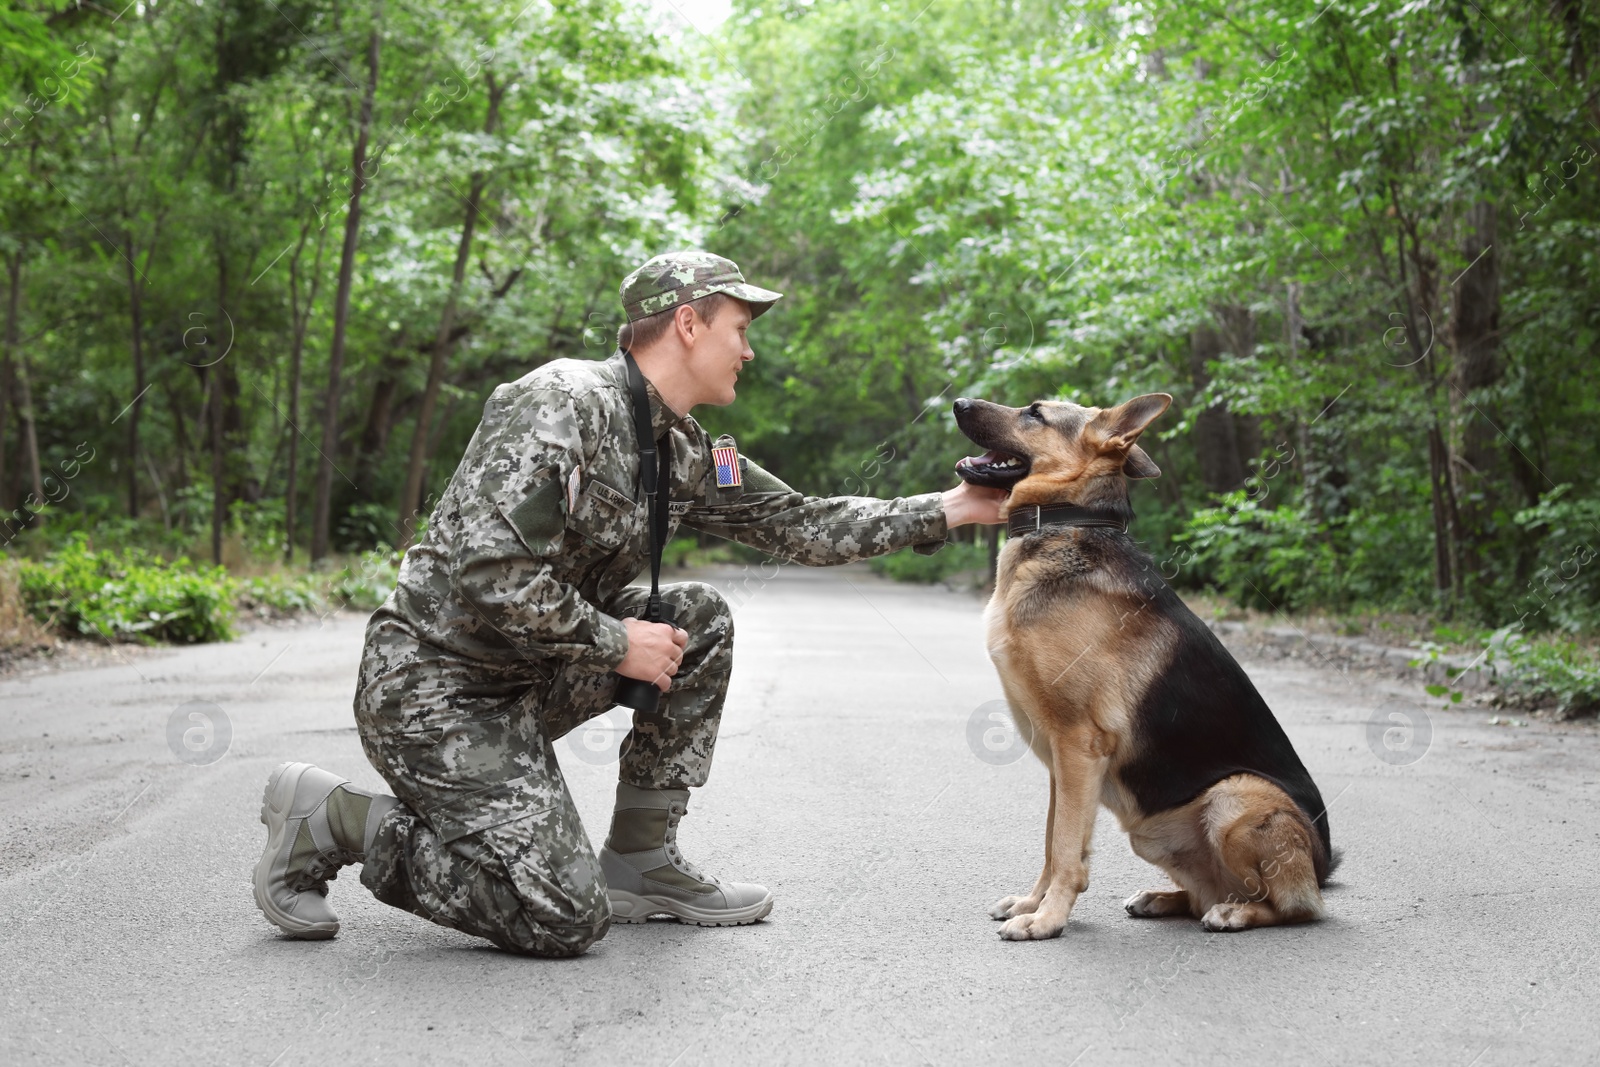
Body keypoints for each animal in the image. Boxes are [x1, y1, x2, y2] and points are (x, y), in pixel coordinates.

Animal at [947, 396, 1337, 940]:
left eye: (1034, 413)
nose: (958, 402)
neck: (1067, 520)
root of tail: (1323, 870)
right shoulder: (1062, 759)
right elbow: (1052, 840)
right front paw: (1033, 903)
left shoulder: (1077, 745)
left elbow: (1065, 847)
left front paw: (1046, 920)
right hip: (1151, 833)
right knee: (1206, 894)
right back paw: (1164, 898)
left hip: (1235, 797)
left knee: (1294, 907)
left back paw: (1238, 913)